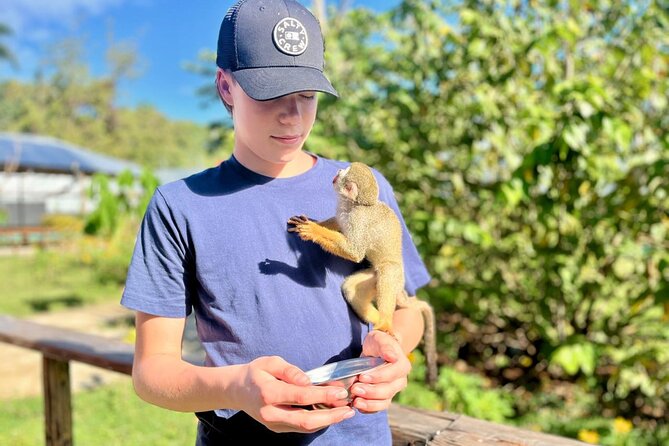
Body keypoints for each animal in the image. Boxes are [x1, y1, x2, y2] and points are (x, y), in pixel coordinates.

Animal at [287, 162, 438, 387]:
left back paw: (385, 322)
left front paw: (313, 230)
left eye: (343, 173)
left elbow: (354, 251)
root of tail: (401, 283)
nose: (337, 172)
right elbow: (339, 223)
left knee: (386, 275)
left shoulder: (357, 218)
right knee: (352, 288)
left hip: (395, 274)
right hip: (371, 276)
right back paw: (379, 321)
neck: (354, 205)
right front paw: (315, 223)